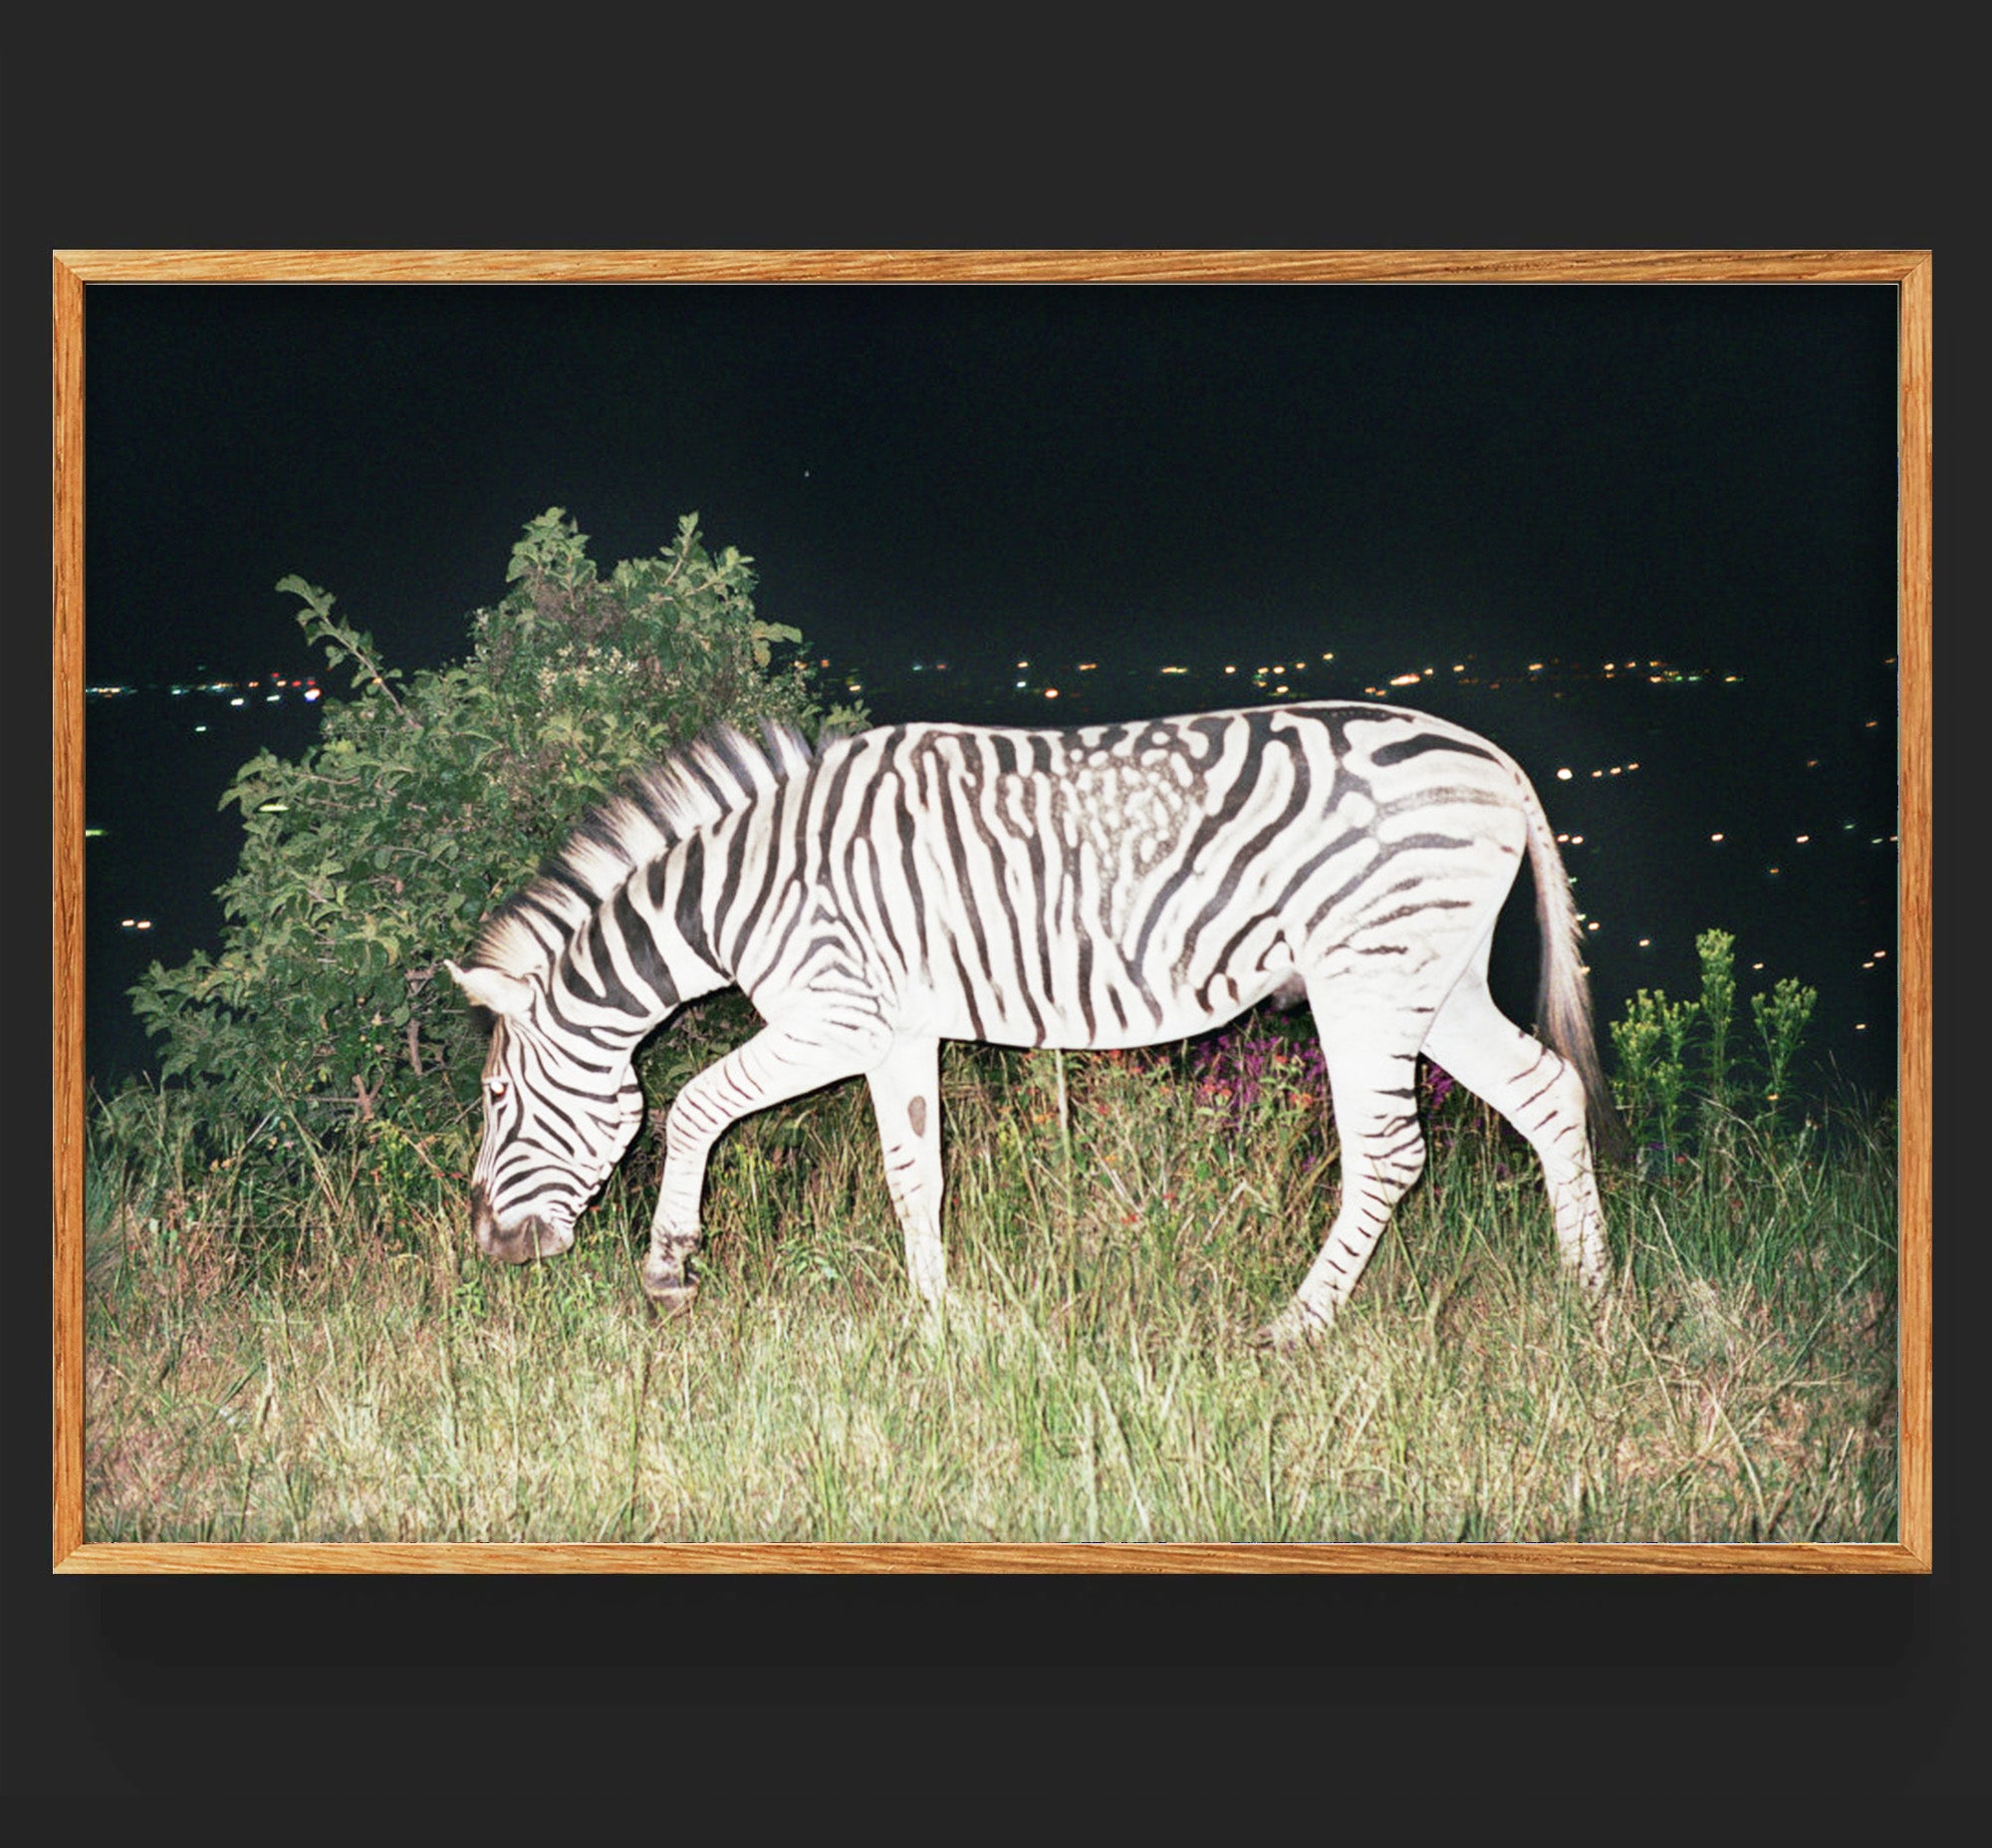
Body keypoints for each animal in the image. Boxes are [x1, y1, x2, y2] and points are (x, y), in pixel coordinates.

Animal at [447, 702, 1621, 1348]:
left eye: (498, 1097)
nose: (492, 1250)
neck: (748, 885)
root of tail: (1491, 754)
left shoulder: (837, 1014)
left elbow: (691, 1105)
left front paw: (668, 1268)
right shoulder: (894, 1031)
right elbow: (912, 1173)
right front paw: (936, 1319)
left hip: (1367, 975)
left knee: (1386, 1151)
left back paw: (1295, 1326)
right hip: (1433, 977)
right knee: (1543, 1091)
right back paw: (1591, 1300)